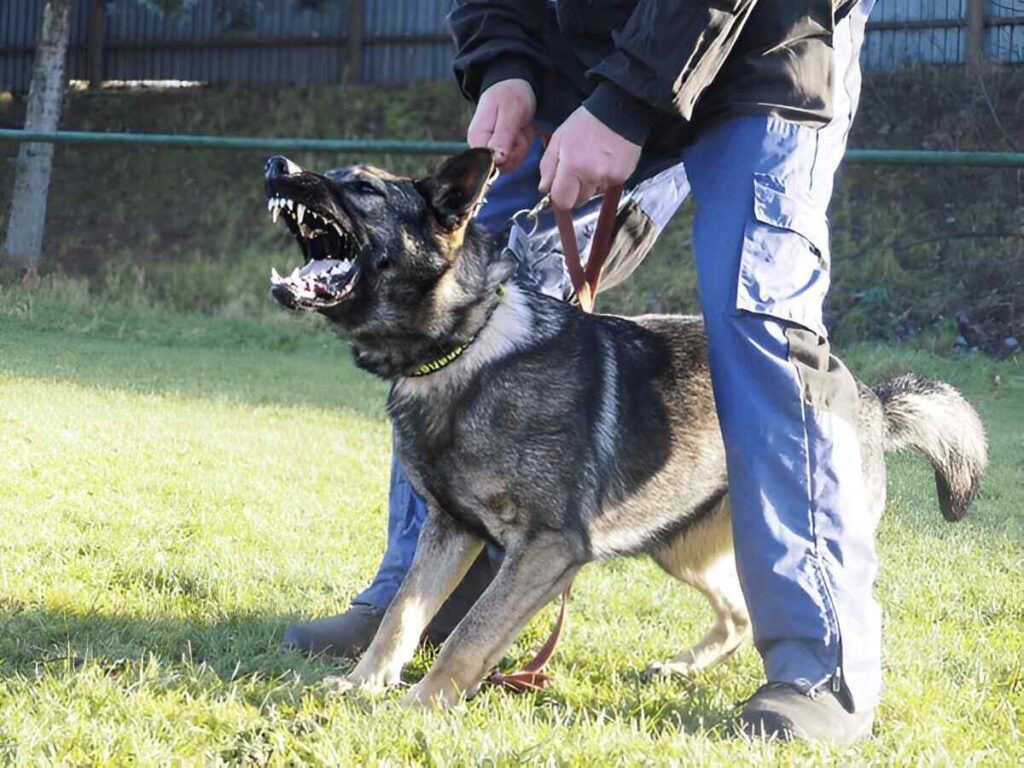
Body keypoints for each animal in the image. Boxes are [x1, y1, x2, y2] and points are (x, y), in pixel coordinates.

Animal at [264, 150, 983, 708]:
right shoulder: (450, 530)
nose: (279, 166)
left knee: (833, 611)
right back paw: (682, 667)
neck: (468, 347)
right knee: (738, 614)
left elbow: (469, 633)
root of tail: (870, 399)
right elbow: (402, 615)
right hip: (676, 544)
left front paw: (423, 703)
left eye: (363, 188)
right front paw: (364, 683)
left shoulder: (547, 549)